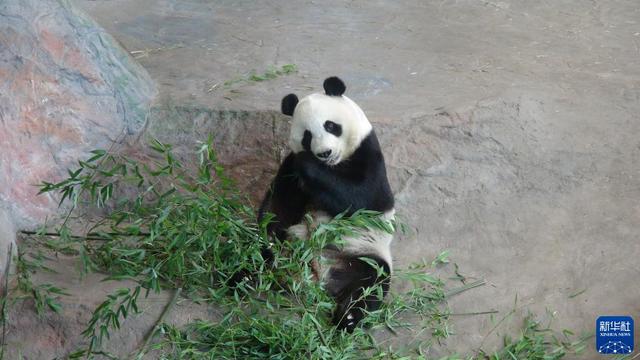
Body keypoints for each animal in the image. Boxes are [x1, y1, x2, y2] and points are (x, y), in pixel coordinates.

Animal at [258, 76, 398, 332]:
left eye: (331, 126)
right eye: (307, 135)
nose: (324, 153)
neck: (332, 166)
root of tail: (317, 277)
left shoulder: (369, 154)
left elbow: (361, 198)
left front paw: (311, 164)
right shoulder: (289, 170)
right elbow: (279, 209)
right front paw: (268, 237)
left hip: (362, 253)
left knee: (371, 282)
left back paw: (348, 319)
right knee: (258, 261)